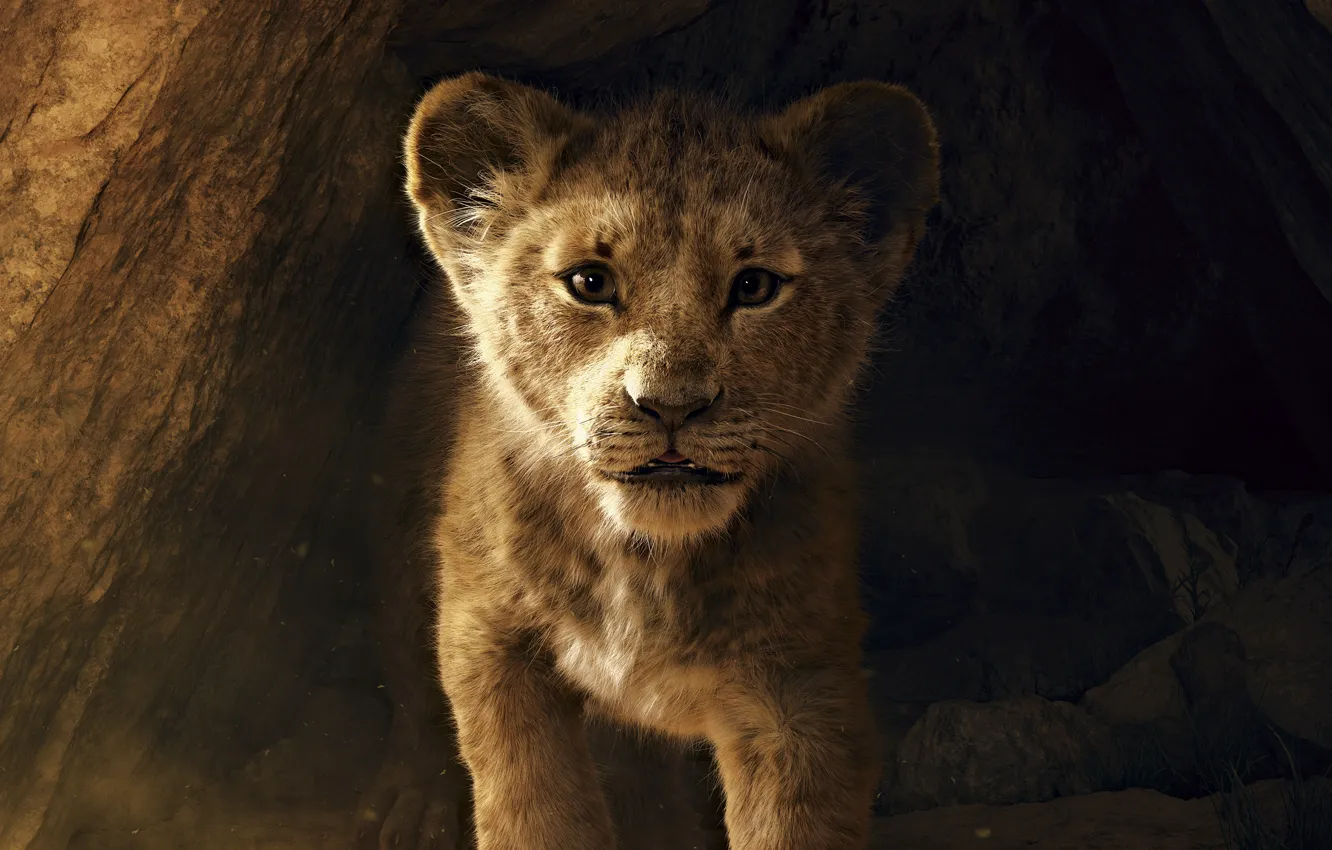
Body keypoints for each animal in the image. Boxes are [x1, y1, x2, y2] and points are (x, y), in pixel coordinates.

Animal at [362, 72, 939, 850]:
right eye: (590, 283)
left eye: (754, 286)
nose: (670, 405)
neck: (645, 562)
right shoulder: (490, 638)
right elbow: (533, 806)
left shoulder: (802, 685)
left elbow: (794, 823)